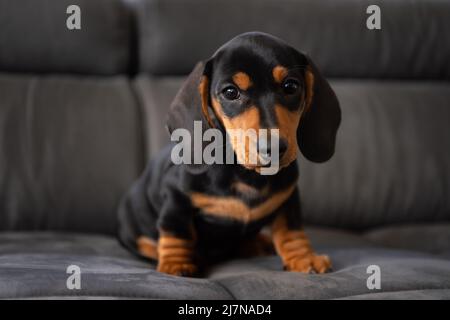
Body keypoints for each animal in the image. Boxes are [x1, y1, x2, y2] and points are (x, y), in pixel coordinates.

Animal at [118, 33, 340, 278]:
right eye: (230, 92)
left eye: (291, 86)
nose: (272, 148)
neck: (247, 174)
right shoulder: (175, 196)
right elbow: (177, 231)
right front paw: (177, 263)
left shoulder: (288, 196)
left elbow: (291, 228)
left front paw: (303, 257)